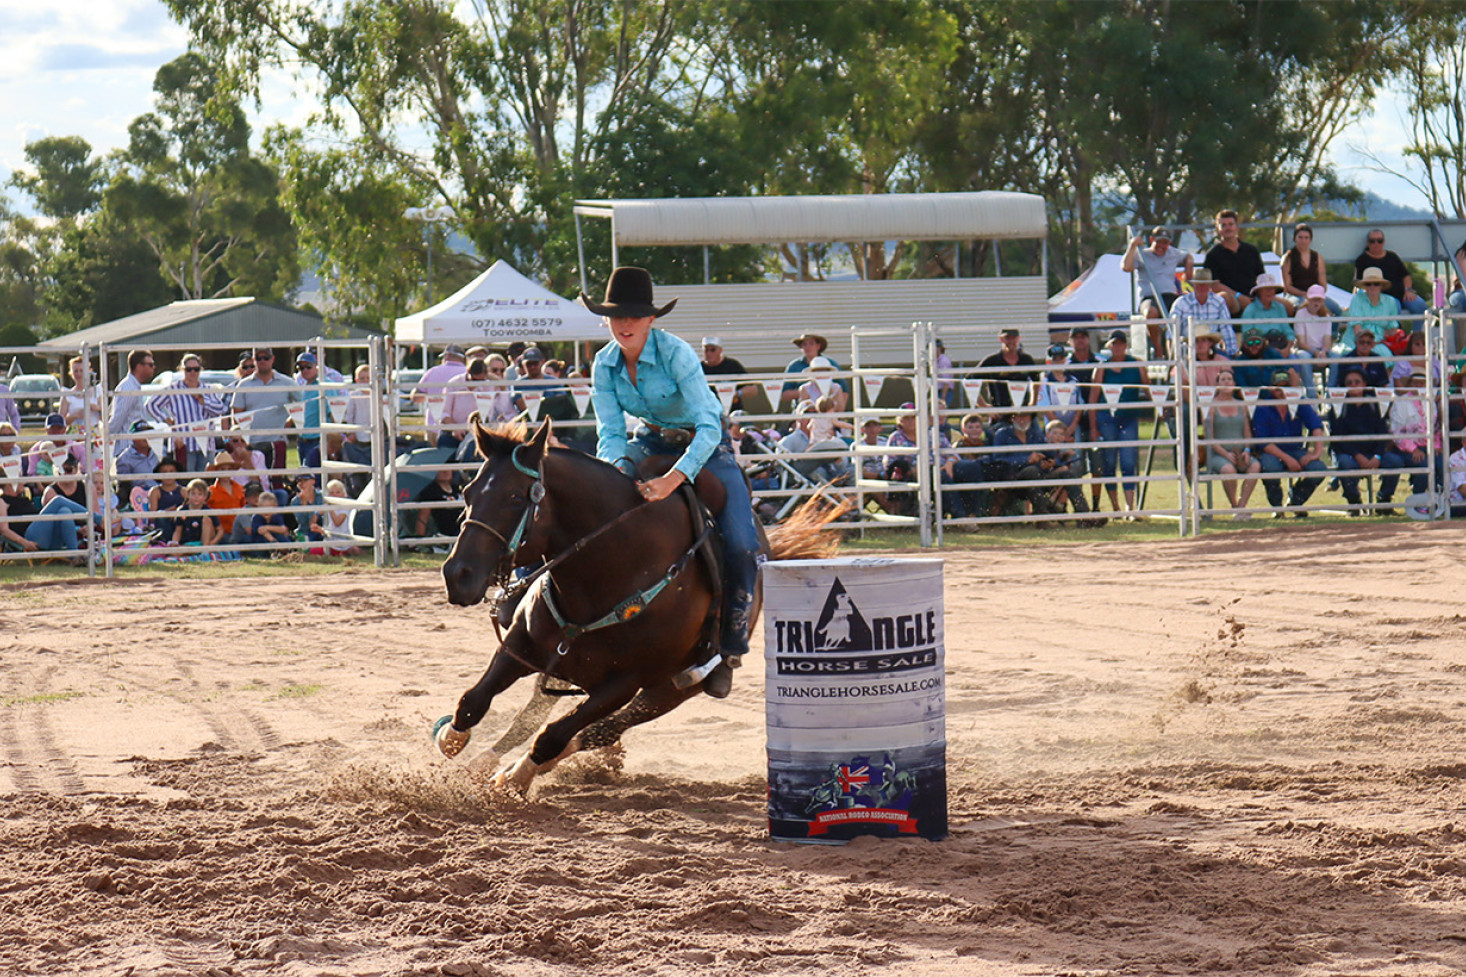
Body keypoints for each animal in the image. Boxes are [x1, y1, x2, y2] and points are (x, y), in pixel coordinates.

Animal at [433, 413, 838, 786]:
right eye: (468, 492)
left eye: (515, 497)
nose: (457, 575)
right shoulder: (522, 644)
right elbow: (473, 702)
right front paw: (452, 744)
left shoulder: (624, 683)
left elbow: (555, 735)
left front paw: (515, 778)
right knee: (534, 718)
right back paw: (485, 762)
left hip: (668, 691)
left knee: (597, 732)